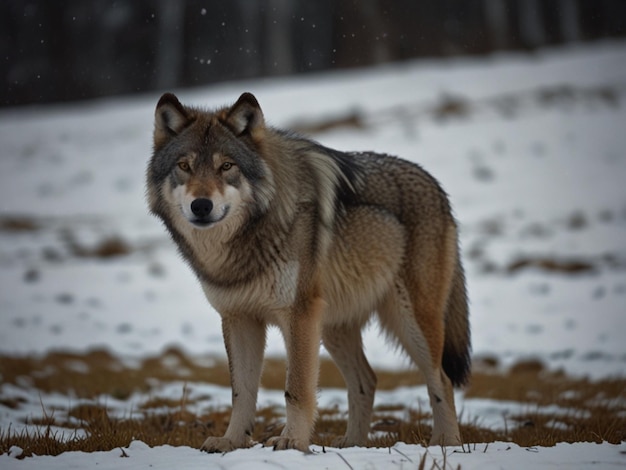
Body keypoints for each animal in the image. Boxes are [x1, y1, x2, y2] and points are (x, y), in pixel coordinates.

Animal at [146, 92, 468, 452]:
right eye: (184, 166)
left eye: (226, 166)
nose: (201, 206)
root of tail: (436, 186)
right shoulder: (239, 318)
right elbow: (241, 391)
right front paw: (231, 441)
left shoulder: (298, 315)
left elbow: (296, 389)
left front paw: (293, 442)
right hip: (333, 327)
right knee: (367, 380)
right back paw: (352, 444)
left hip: (410, 321)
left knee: (441, 379)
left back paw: (446, 441)